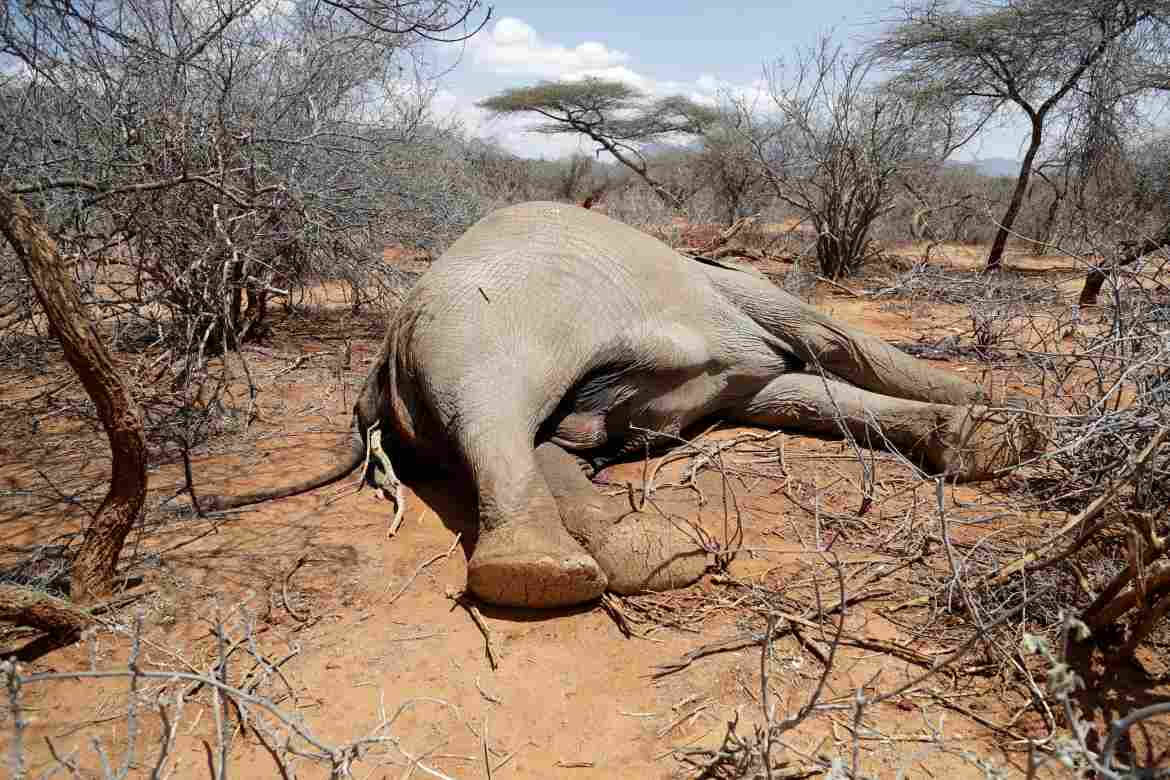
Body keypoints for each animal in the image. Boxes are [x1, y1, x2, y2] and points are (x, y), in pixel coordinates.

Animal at [208, 201, 1034, 608]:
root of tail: (380, 355)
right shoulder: (742, 295)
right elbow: (827, 343)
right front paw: (997, 423)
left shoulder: (741, 362)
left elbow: (800, 394)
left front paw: (983, 437)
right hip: (483, 319)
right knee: (497, 410)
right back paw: (547, 573)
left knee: (542, 440)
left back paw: (641, 555)